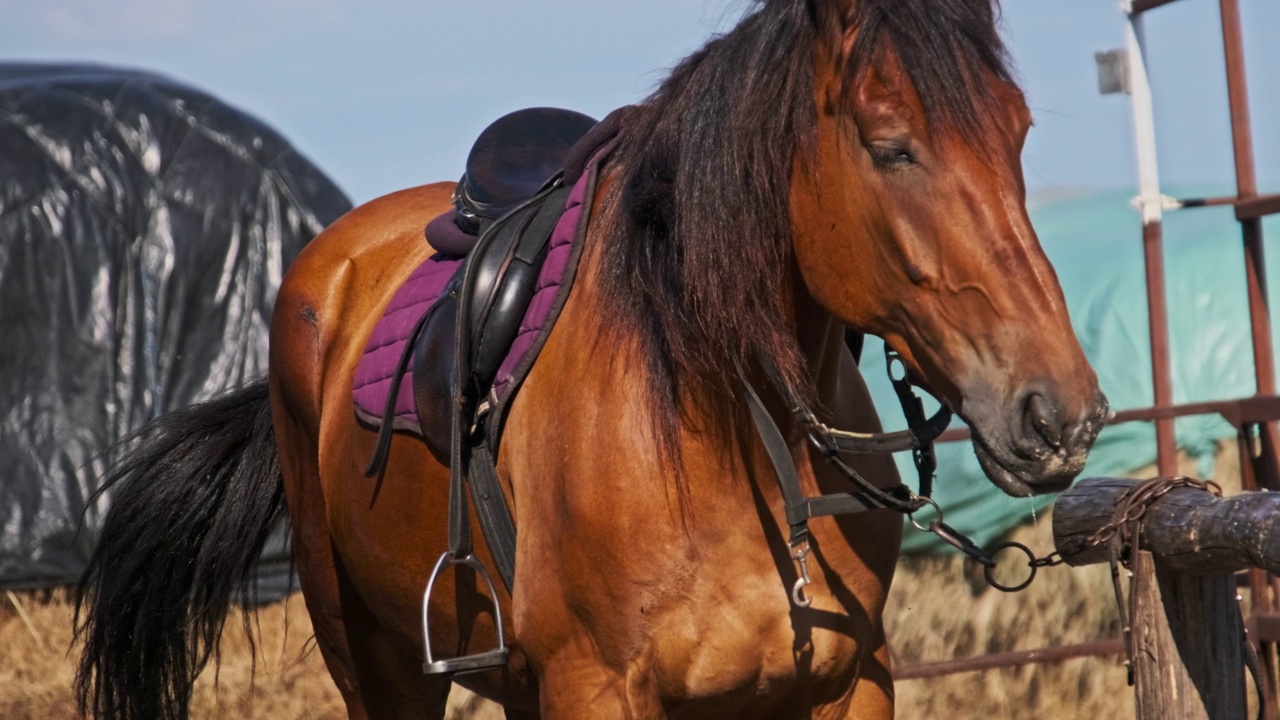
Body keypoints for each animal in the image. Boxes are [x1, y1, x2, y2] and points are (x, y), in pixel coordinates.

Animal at [74, 0, 1105, 712]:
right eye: (892, 148)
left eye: (1017, 135)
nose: (1061, 415)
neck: (719, 431)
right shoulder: (597, 689)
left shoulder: (846, 685)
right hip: (370, 656)